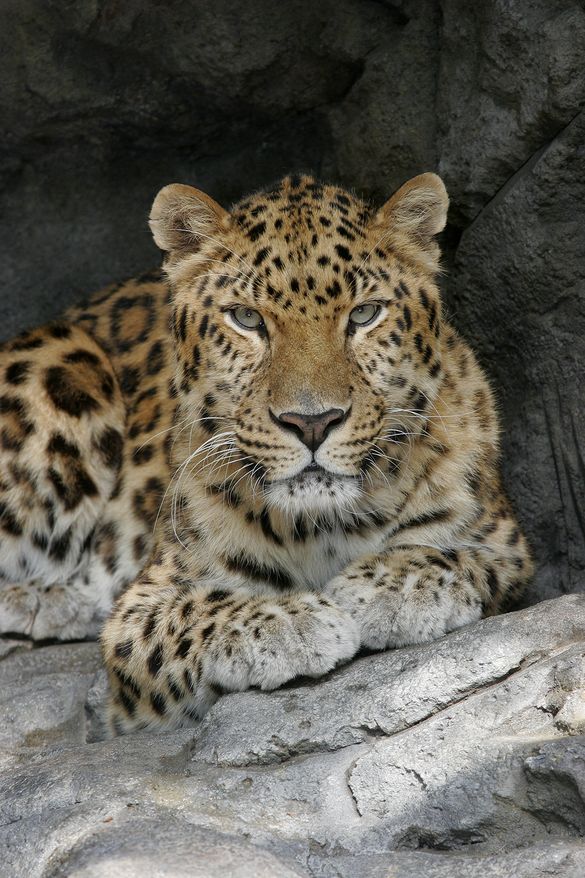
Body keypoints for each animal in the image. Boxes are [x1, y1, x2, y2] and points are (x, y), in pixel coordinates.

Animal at [0, 172, 533, 735]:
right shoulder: (136, 615)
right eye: (247, 319)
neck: (323, 527)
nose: (312, 422)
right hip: (66, 366)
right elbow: (195, 613)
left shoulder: (508, 545)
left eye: (365, 314)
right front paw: (290, 622)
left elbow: (453, 554)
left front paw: (393, 585)